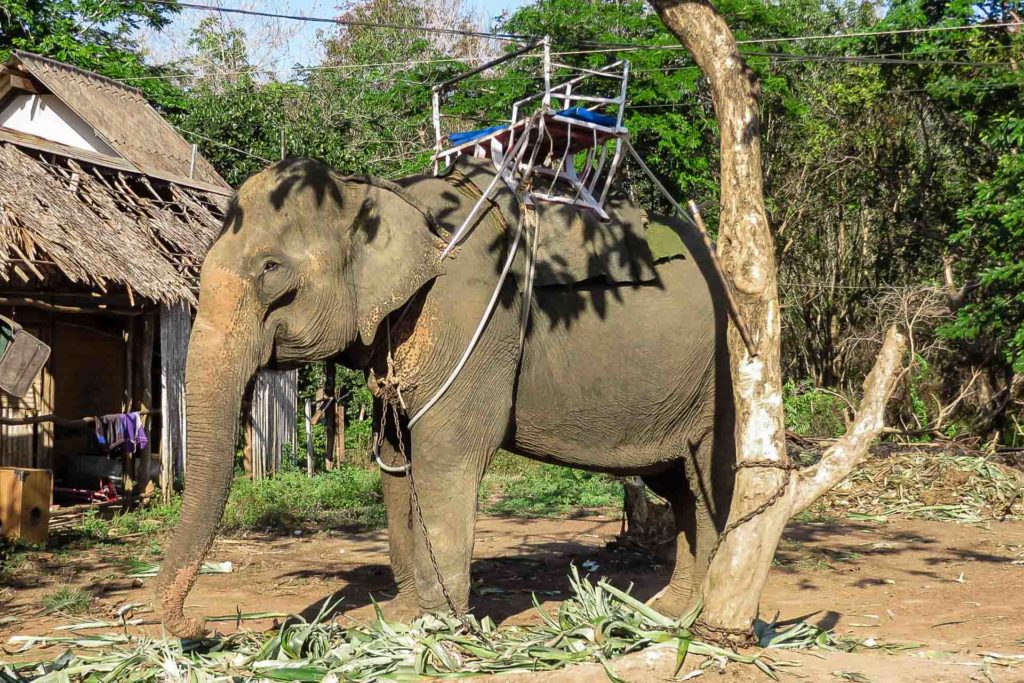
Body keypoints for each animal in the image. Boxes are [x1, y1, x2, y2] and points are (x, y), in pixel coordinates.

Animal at [153, 156, 737, 643]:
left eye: (270, 270)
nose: (202, 628)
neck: (380, 193)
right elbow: (396, 462)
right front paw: (402, 617)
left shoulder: (470, 320)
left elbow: (445, 455)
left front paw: (438, 626)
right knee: (678, 484)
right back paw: (665, 612)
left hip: (722, 378)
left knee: (709, 478)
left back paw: (692, 617)